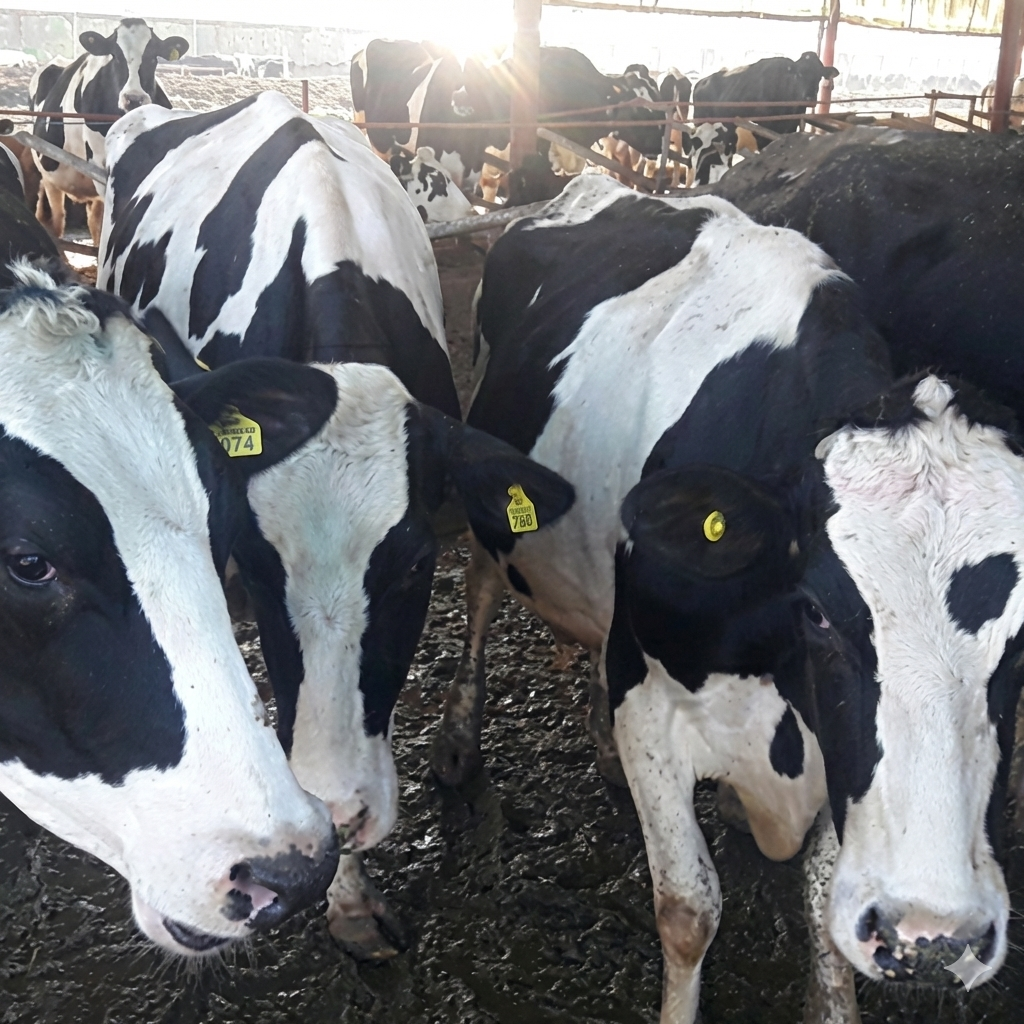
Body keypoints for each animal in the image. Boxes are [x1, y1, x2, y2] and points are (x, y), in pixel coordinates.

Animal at [33, 19, 189, 244]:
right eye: (115, 56)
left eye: (153, 56)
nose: (134, 98)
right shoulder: (98, 163)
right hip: (49, 175)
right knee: (56, 218)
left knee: (95, 224)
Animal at [429, 175, 1024, 1022]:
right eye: (816, 608)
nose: (933, 935)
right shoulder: (650, 707)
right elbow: (689, 908)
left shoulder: (837, 757)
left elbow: (822, 902)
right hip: (495, 494)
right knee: (481, 587)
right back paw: (458, 736)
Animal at [693, 51, 838, 145]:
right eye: (798, 74)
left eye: (820, 75)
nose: (809, 98)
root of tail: (701, 81)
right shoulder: (763, 129)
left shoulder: (792, 126)